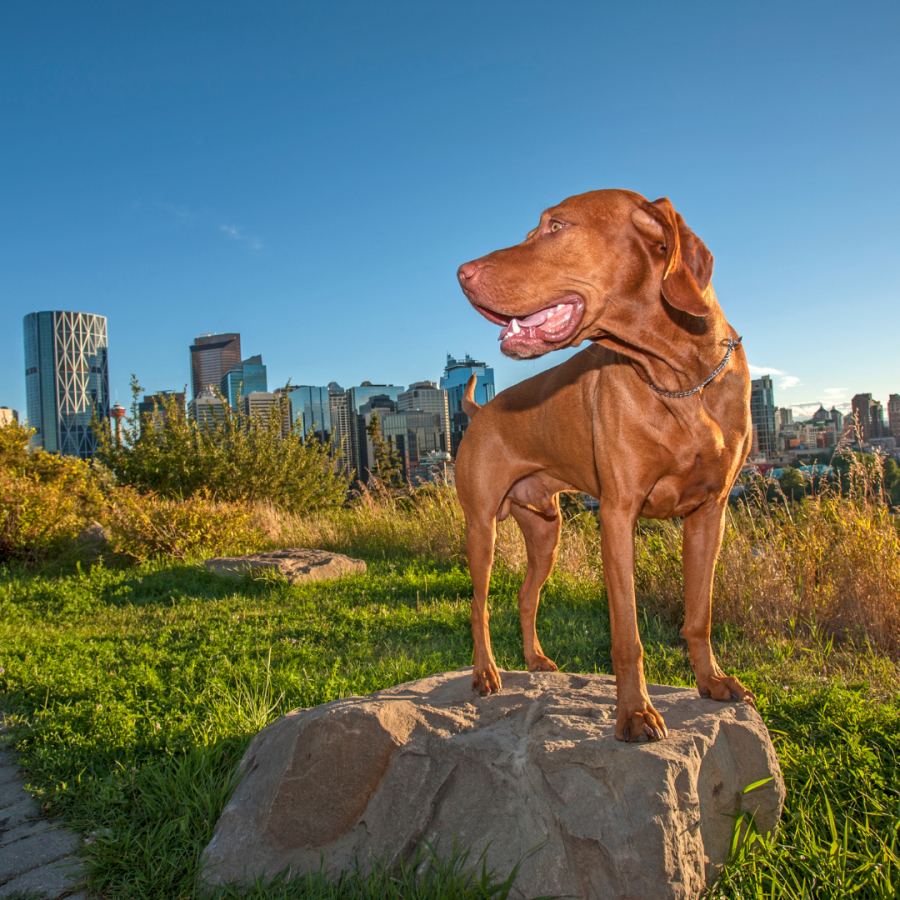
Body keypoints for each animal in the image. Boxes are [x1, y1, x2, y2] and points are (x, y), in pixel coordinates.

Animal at [454, 186, 756, 740]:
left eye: (555, 227)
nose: (462, 273)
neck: (680, 378)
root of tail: (481, 410)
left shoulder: (710, 513)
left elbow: (699, 614)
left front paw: (711, 681)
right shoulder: (617, 516)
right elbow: (627, 636)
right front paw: (635, 713)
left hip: (546, 533)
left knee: (526, 597)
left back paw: (535, 660)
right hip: (481, 528)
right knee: (478, 605)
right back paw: (486, 673)